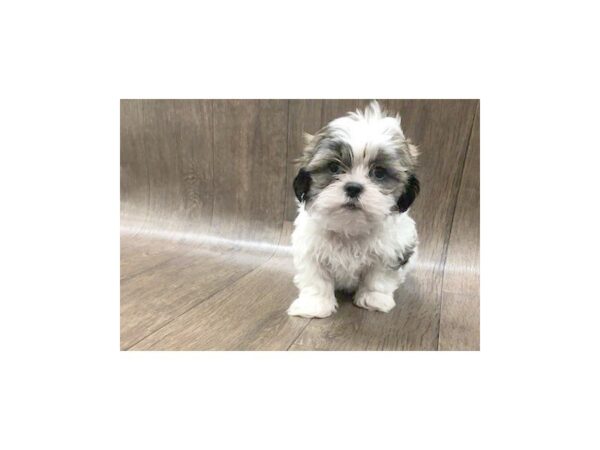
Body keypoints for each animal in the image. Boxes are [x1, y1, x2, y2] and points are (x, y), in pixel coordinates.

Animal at [288, 100, 420, 318]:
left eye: (379, 173)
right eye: (333, 167)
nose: (353, 187)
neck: (349, 228)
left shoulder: (391, 251)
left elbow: (378, 278)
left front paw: (374, 299)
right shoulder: (311, 249)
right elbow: (316, 278)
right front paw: (314, 304)